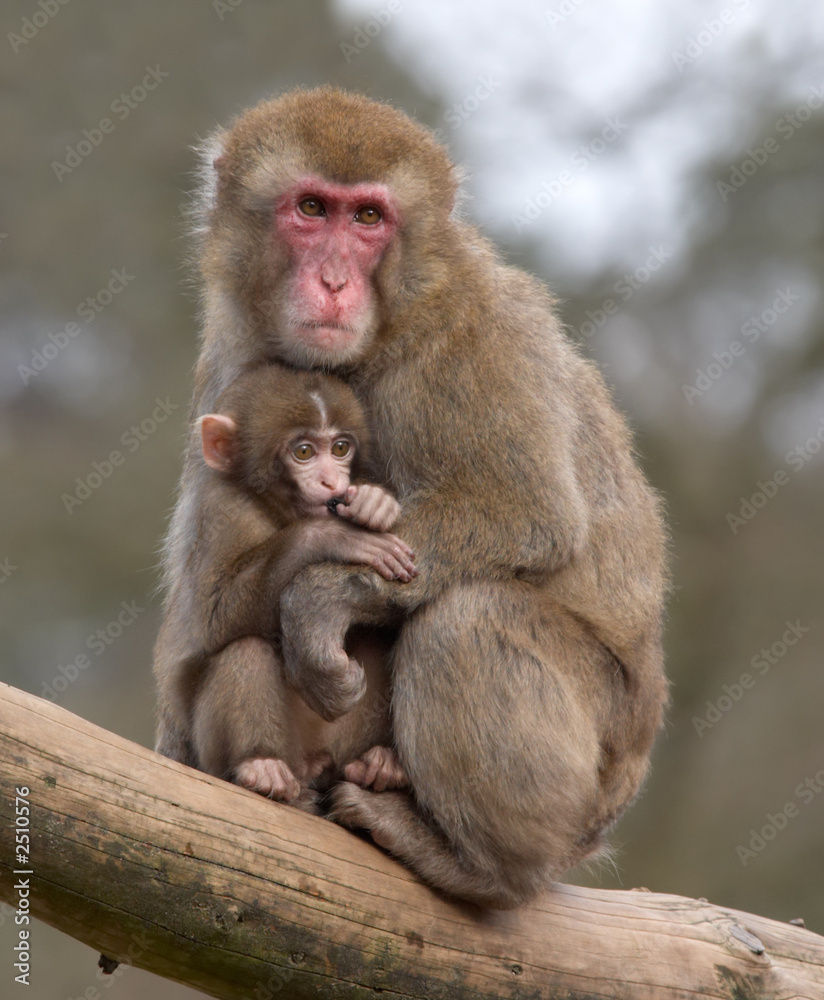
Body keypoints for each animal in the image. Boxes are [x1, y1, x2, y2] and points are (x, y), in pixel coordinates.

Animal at [183, 364, 412, 808]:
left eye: (340, 448)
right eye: (303, 452)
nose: (331, 482)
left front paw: (375, 501)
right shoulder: (222, 508)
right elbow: (213, 617)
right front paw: (330, 535)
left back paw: (379, 763)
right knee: (246, 649)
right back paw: (262, 766)